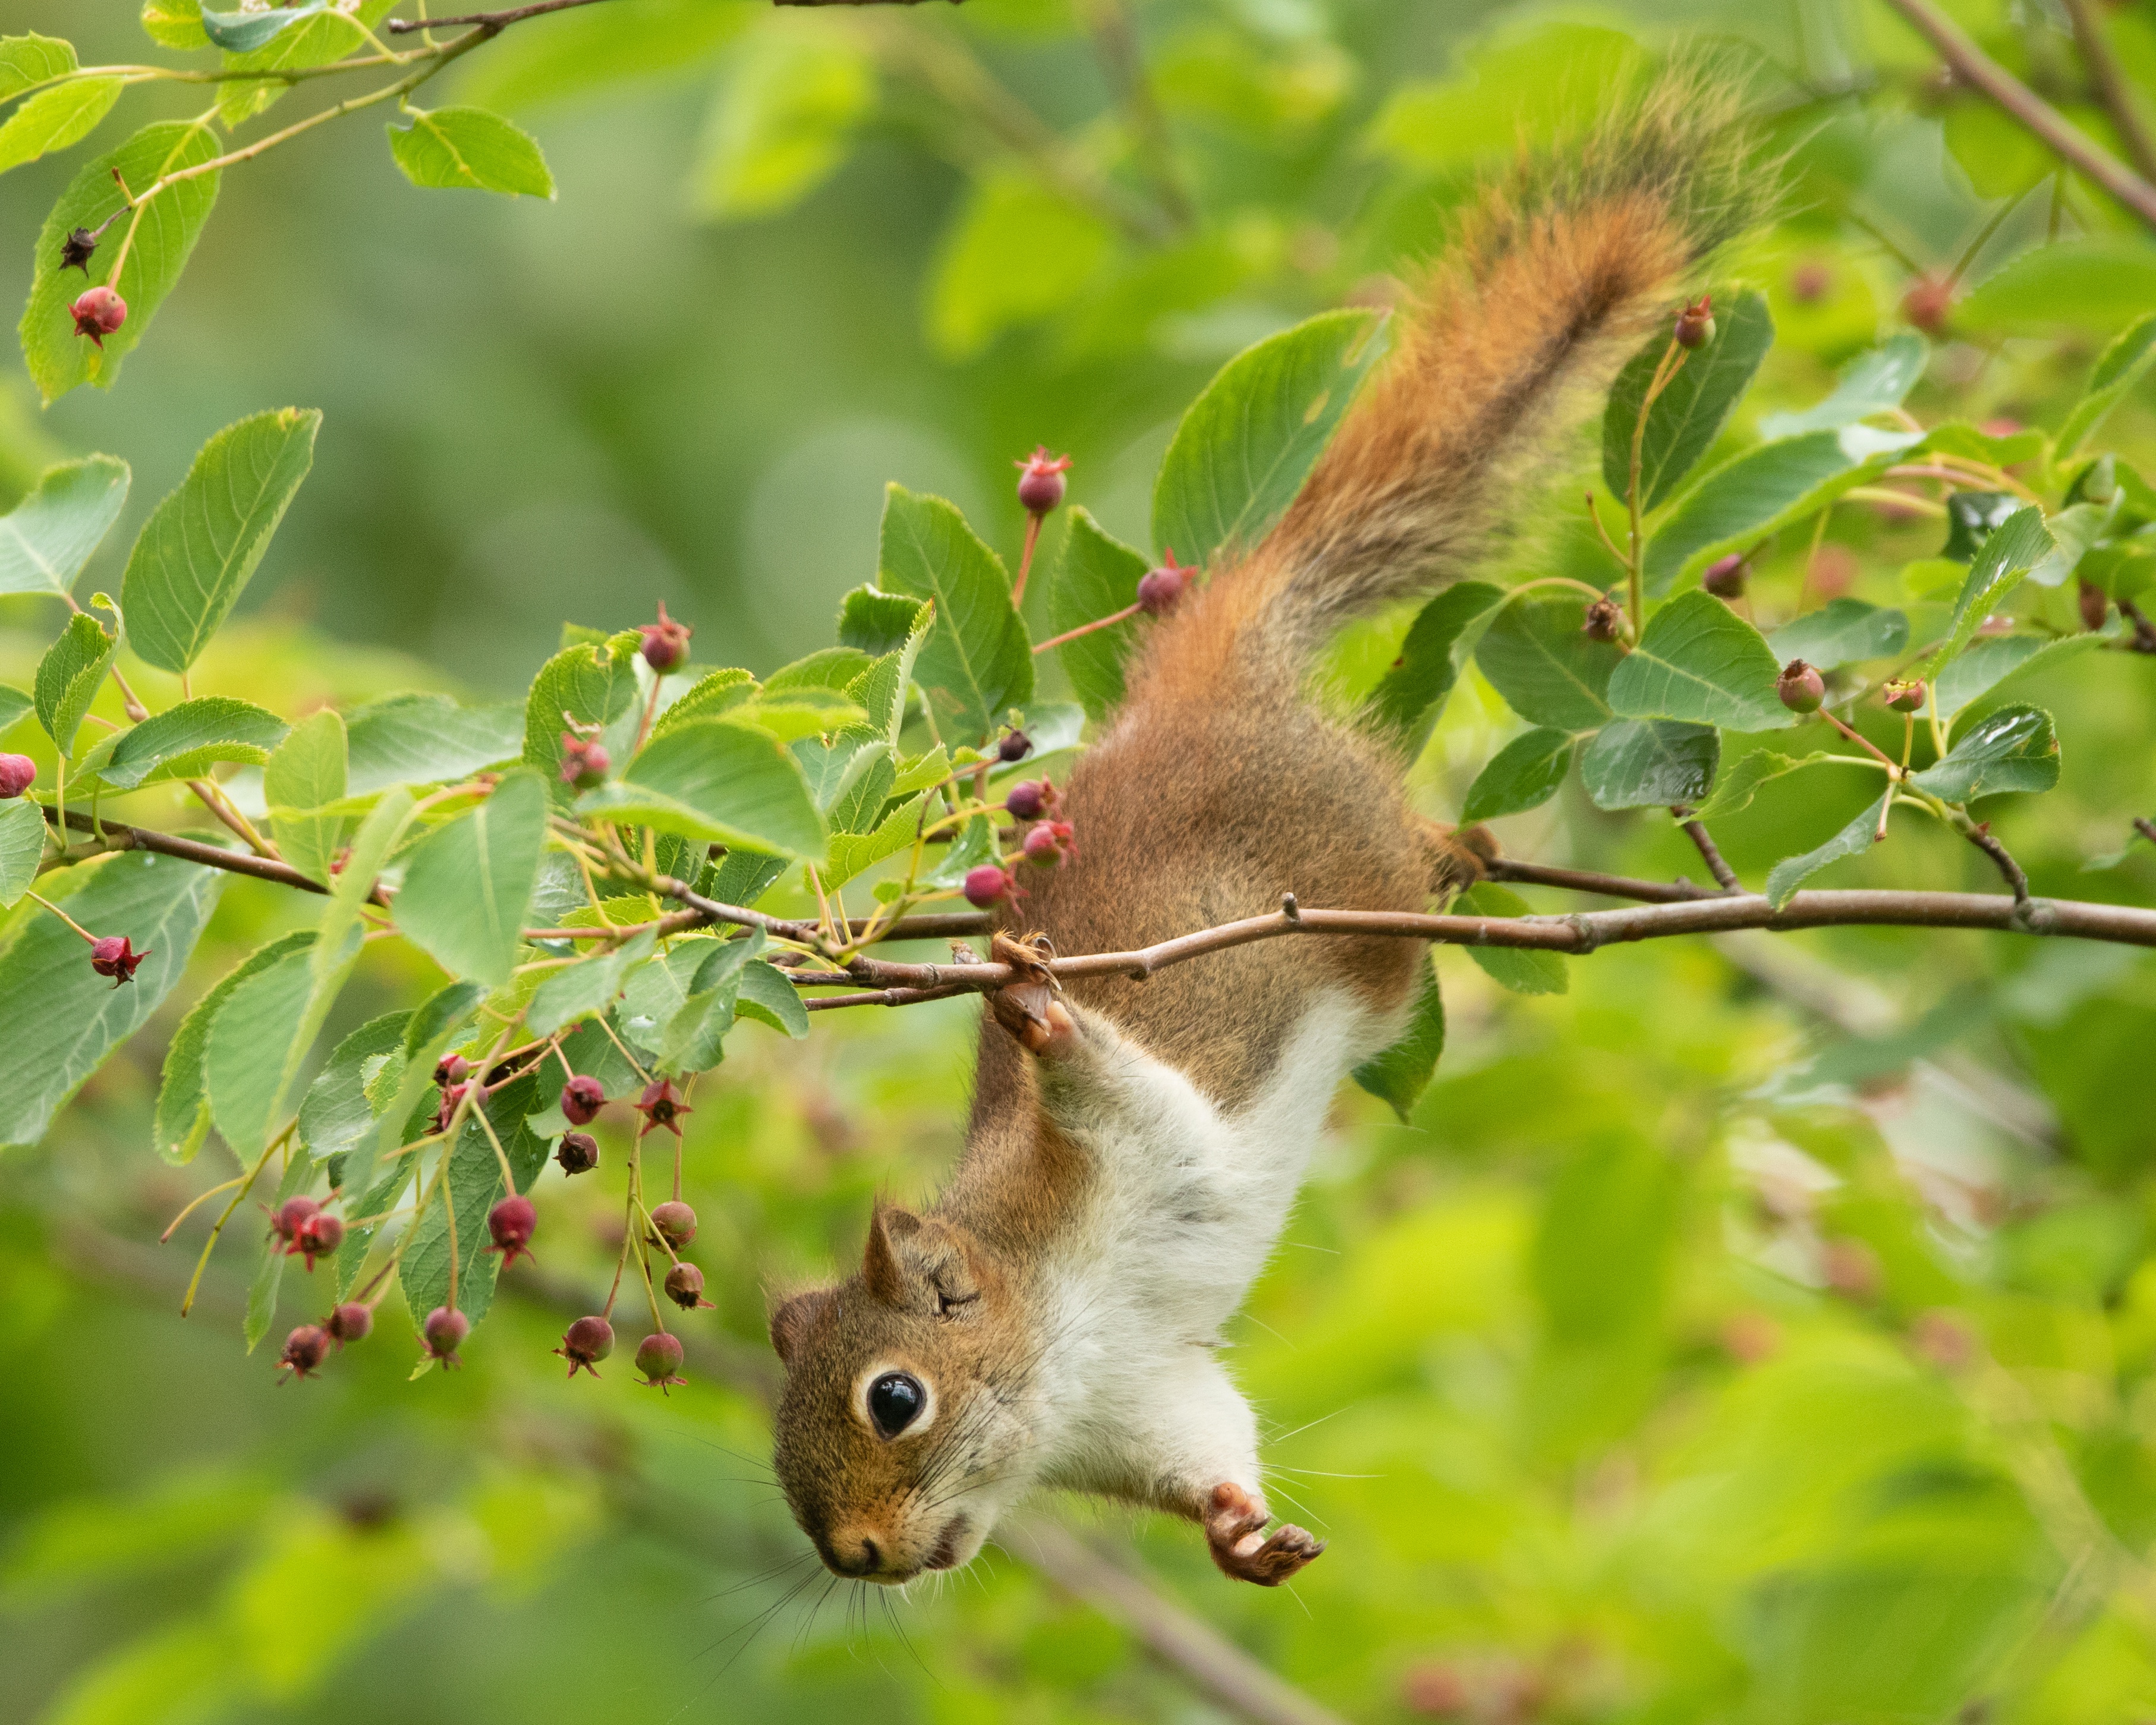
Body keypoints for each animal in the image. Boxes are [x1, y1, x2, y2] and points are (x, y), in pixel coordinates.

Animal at [767, 70, 1759, 1587]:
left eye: (894, 1395)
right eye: (781, 1458)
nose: (859, 1555)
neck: (1053, 1343)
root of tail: (1189, 689)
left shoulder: (1120, 1157)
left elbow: (1124, 1089)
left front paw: (1039, 1020)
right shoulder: (1144, 1398)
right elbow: (1210, 1445)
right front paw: (1243, 1536)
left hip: (1338, 839)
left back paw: (1455, 852)